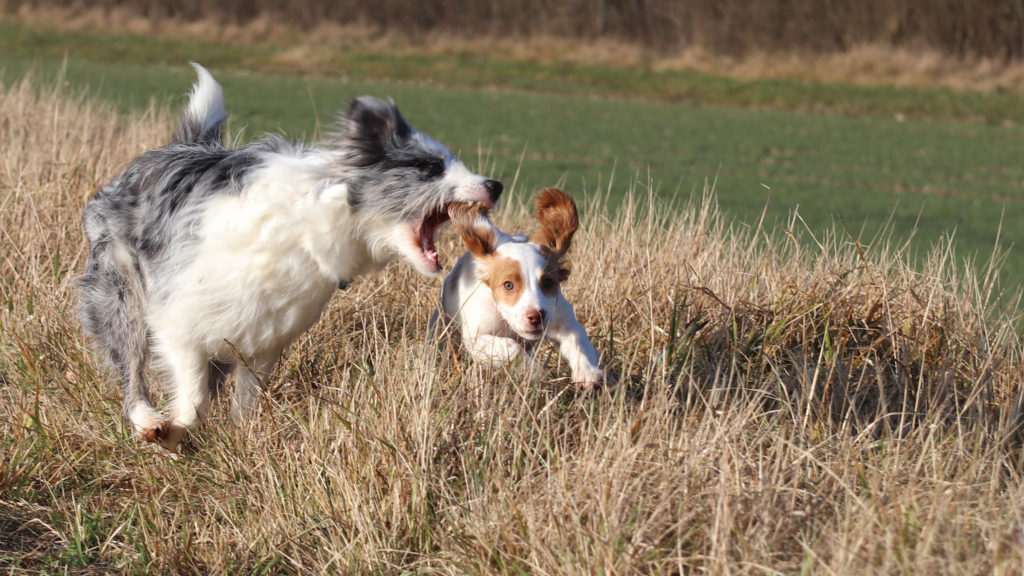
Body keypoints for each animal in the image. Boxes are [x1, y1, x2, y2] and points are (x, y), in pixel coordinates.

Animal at [77, 62, 501, 448]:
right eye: (430, 168)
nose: (496, 185)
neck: (310, 222)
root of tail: (176, 148)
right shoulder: (178, 317)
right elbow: (194, 396)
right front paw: (173, 433)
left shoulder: (263, 334)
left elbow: (245, 399)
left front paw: (244, 442)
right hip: (121, 296)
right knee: (131, 371)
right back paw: (146, 419)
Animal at [430, 186, 602, 387]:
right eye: (508, 285)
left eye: (548, 282)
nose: (536, 316)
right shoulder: (475, 339)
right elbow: (511, 346)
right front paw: (535, 372)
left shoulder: (562, 319)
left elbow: (579, 340)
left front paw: (588, 373)